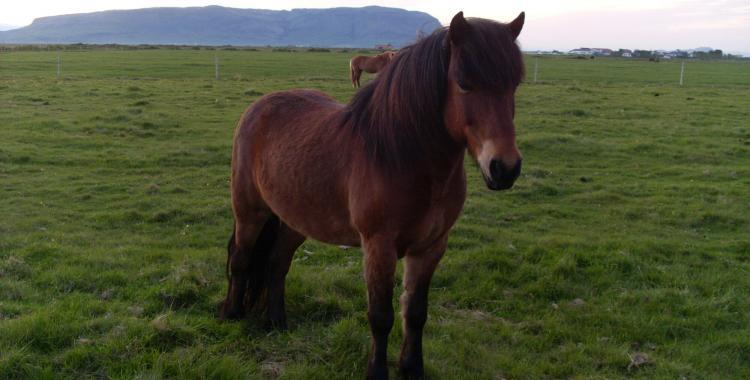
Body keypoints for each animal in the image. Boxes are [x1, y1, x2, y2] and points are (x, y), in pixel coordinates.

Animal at [222, 10, 528, 378]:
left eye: (515, 84)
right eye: (464, 82)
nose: (505, 168)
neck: (404, 157)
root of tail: (258, 107)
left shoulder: (431, 247)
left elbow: (416, 312)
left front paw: (412, 368)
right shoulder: (378, 246)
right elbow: (381, 317)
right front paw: (377, 371)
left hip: (296, 220)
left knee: (276, 263)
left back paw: (276, 322)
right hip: (249, 211)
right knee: (241, 256)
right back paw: (232, 314)